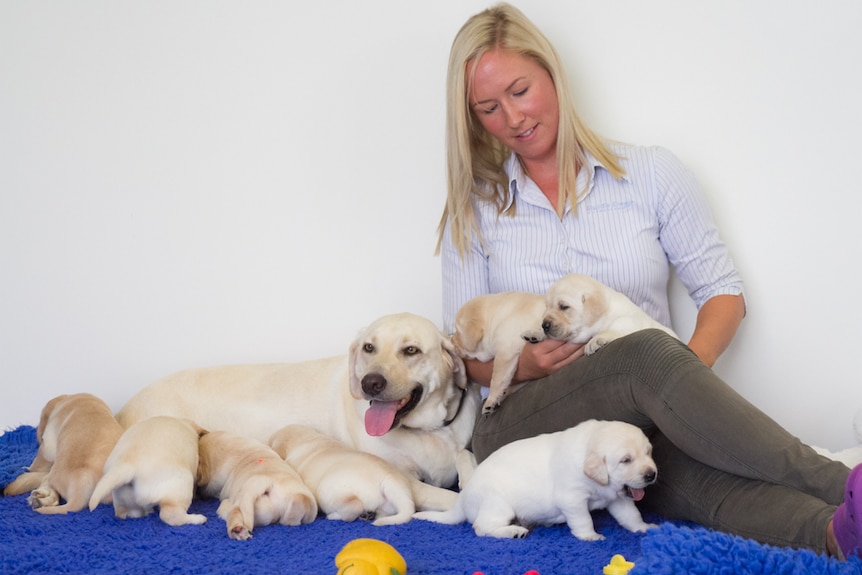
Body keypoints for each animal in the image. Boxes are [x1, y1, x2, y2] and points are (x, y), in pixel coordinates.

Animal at [270, 424, 460, 528]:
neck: (306, 438)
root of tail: (389, 479)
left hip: (330, 491)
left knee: (353, 507)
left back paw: (335, 516)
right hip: (388, 505)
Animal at [416, 420, 660, 544]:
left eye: (649, 452)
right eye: (625, 460)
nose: (651, 475)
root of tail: (463, 498)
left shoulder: (619, 498)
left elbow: (631, 515)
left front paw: (644, 527)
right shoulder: (572, 499)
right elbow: (584, 519)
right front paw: (590, 536)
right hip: (496, 504)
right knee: (481, 527)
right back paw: (513, 531)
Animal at [524, 272, 680, 354]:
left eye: (564, 307)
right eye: (547, 307)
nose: (545, 325)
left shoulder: (630, 319)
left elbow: (617, 325)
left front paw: (597, 340)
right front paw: (534, 332)